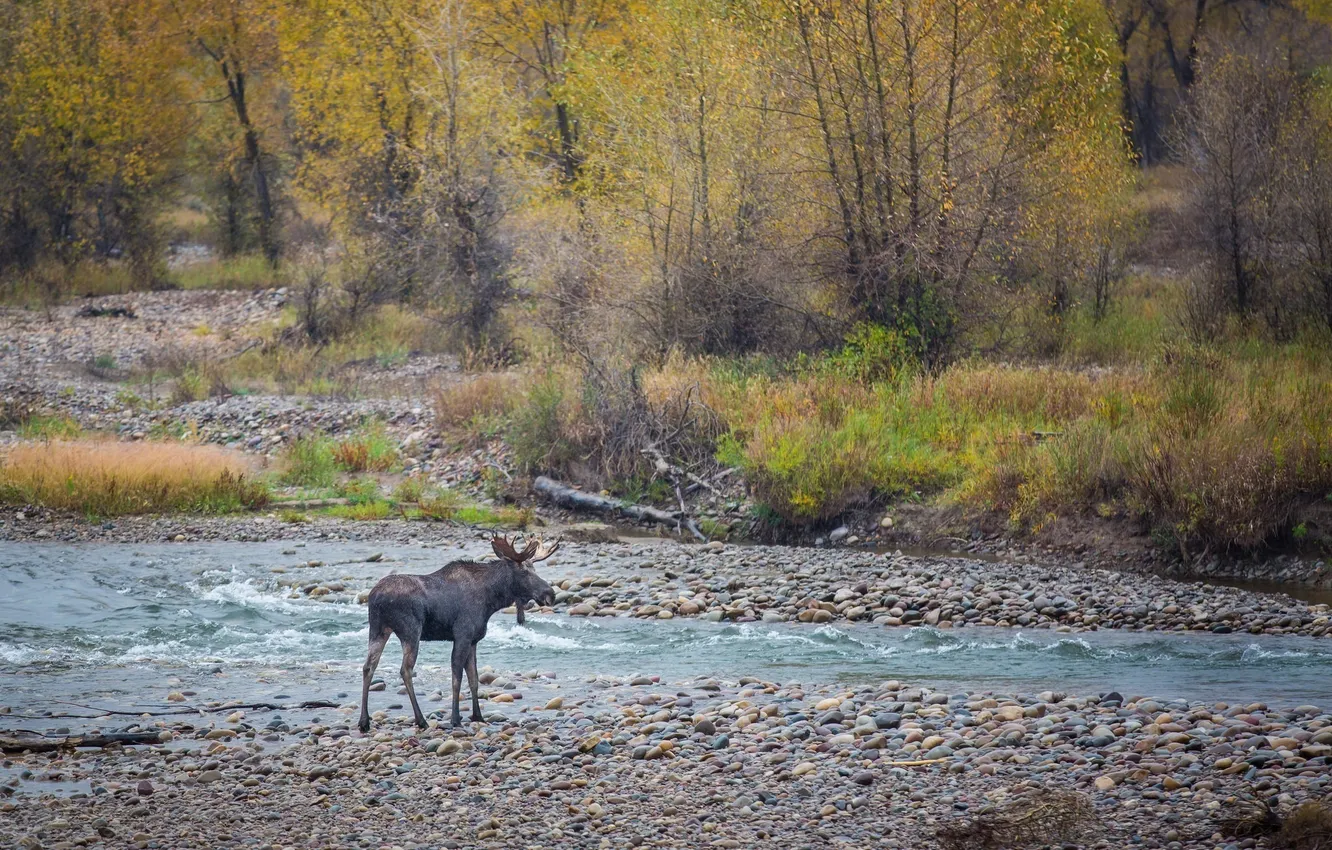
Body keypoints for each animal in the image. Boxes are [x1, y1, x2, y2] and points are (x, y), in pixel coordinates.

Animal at [358, 534, 559, 732]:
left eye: (534, 568)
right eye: (524, 571)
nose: (550, 594)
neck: (491, 599)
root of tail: (376, 597)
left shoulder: (474, 640)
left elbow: (474, 679)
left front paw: (478, 716)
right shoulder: (462, 636)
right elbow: (457, 679)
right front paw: (456, 719)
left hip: (378, 630)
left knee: (368, 667)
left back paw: (364, 721)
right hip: (411, 631)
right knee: (405, 670)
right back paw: (421, 720)